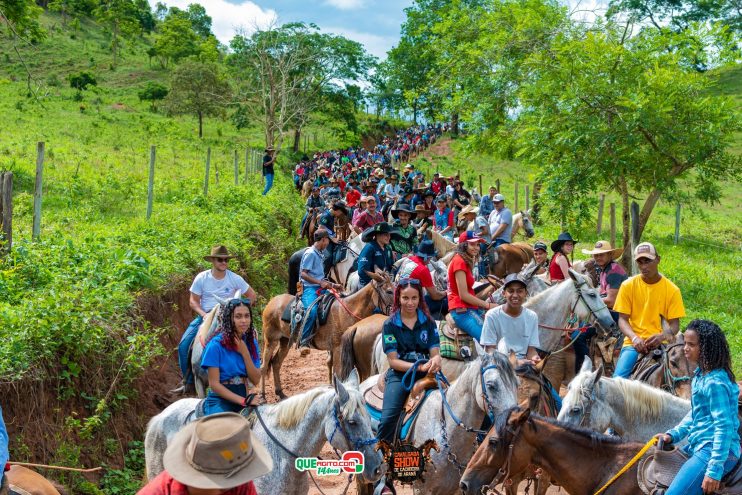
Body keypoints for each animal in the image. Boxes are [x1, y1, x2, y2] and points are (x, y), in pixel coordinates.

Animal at [262, 278, 396, 402]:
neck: (346, 312)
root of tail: (271, 302)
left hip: (284, 341)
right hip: (270, 340)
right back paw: (263, 396)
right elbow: (338, 372)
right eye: (389, 291)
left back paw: (280, 393)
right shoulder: (338, 348)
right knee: (264, 365)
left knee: (276, 363)